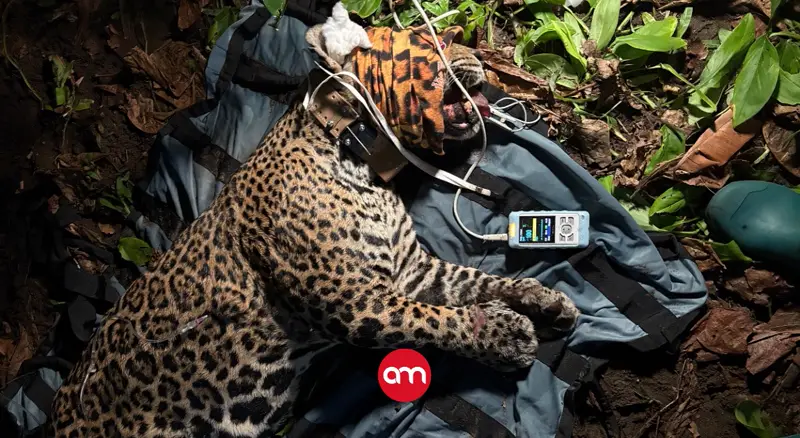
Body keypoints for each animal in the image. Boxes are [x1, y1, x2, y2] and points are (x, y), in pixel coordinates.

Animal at [51, 21, 580, 438]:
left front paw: (543, 300)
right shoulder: (355, 302)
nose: (481, 61)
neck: (355, 152)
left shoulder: (412, 272)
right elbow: (436, 321)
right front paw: (502, 335)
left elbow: (477, 281)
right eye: (429, 40)